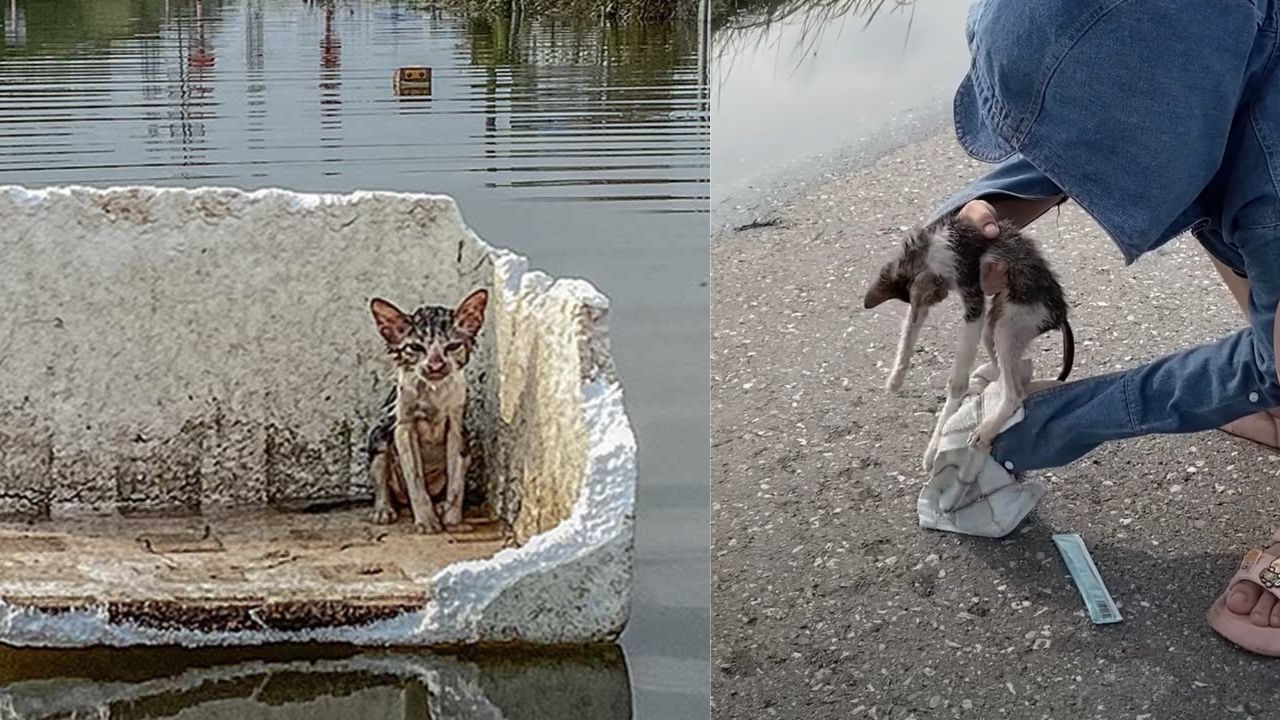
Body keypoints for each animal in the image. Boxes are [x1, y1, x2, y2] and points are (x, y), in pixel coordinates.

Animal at [371, 288, 488, 530]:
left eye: (452, 346)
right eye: (416, 347)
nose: (435, 366)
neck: (433, 393)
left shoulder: (457, 427)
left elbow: (456, 479)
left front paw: (453, 519)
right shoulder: (403, 427)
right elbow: (415, 478)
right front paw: (426, 521)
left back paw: (441, 505)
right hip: (379, 436)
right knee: (382, 480)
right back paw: (383, 509)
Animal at [865, 215, 1075, 468]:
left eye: (937, 292)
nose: (942, 295)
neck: (929, 250)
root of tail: (1059, 314)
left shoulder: (973, 299)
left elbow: (956, 382)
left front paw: (934, 447)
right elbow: (909, 330)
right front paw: (896, 377)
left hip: (1011, 324)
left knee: (1015, 394)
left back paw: (986, 429)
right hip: (996, 320)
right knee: (1007, 370)